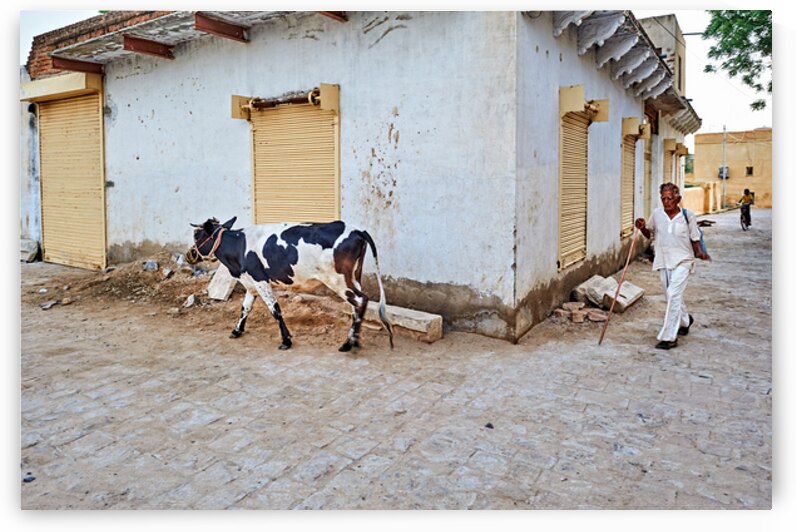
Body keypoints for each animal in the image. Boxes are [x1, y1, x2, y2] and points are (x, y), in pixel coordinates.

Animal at [186, 216, 394, 352]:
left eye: (196, 235)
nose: (190, 253)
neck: (238, 246)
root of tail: (357, 230)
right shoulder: (250, 282)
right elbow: (245, 308)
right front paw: (237, 330)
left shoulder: (260, 279)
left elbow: (275, 309)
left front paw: (286, 340)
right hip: (353, 277)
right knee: (357, 305)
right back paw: (353, 340)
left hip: (338, 280)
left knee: (360, 300)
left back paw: (349, 343)